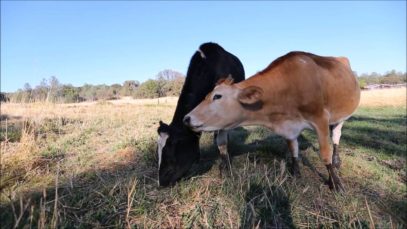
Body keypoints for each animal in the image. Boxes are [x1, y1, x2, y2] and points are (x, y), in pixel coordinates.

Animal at [183, 51, 362, 191]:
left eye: (217, 96)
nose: (186, 118)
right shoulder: (289, 128)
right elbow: (294, 150)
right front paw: (296, 173)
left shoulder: (320, 119)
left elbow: (325, 155)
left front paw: (335, 183)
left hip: (341, 116)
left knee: (336, 136)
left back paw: (336, 161)